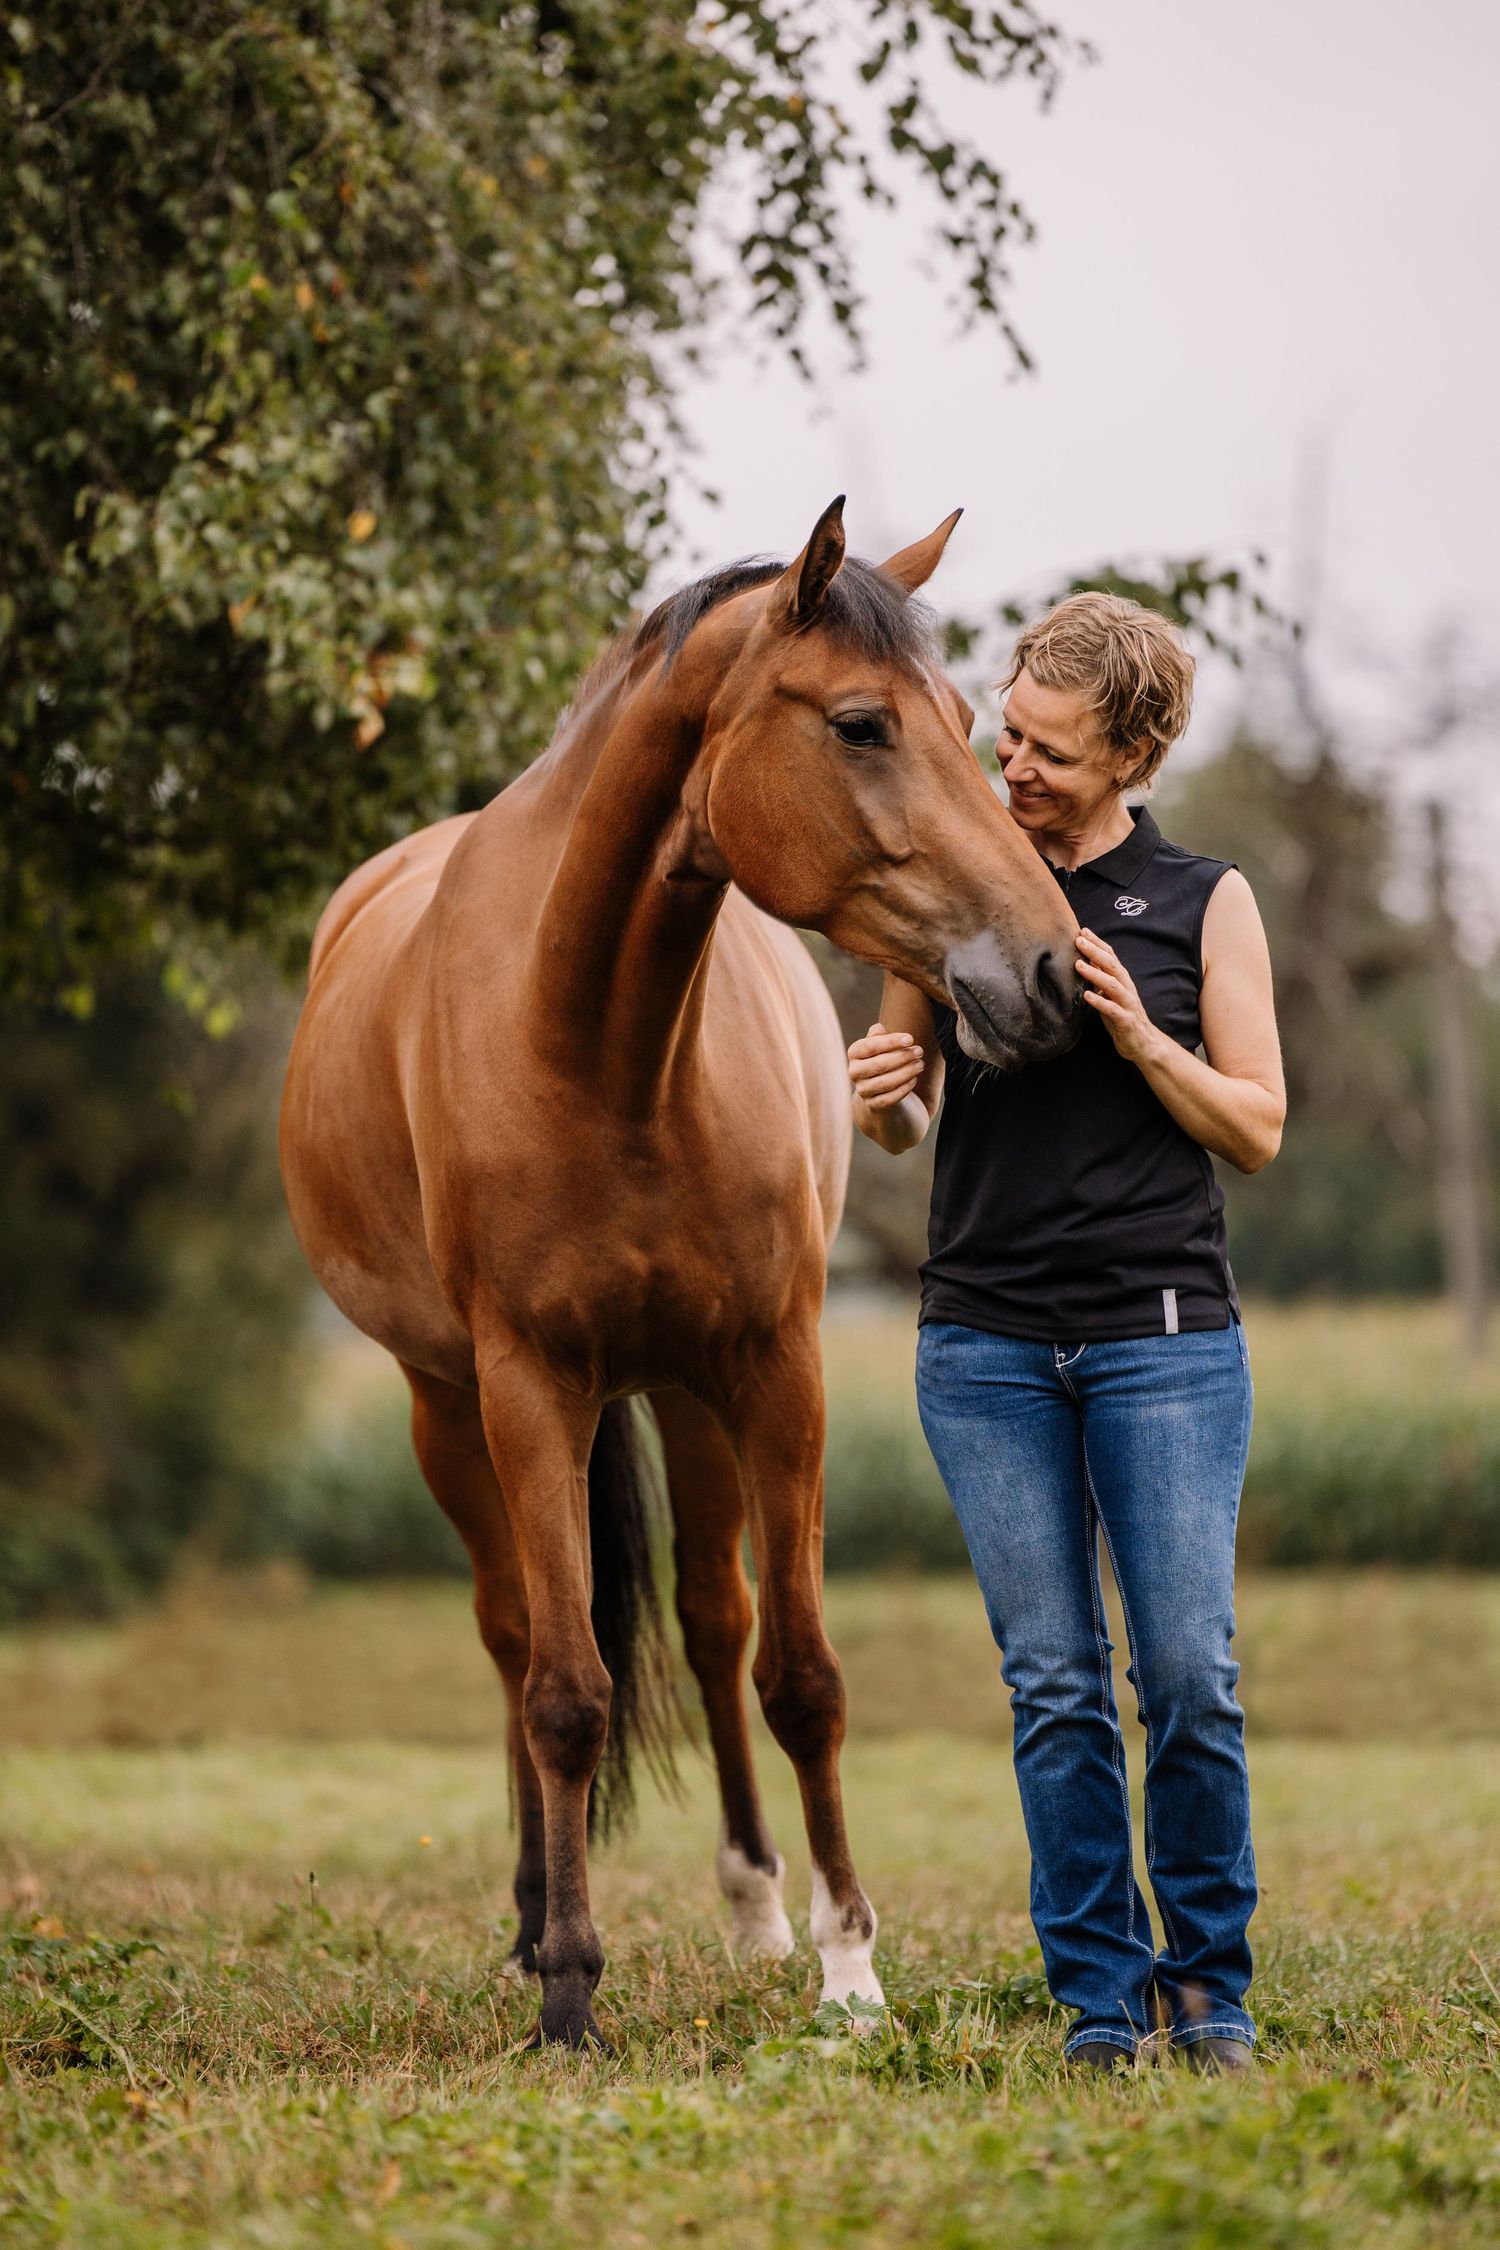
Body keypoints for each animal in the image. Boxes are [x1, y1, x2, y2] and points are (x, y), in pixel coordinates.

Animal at [279, 498, 1081, 2046]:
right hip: (450, 1405)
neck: (601, 1044)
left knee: (715, 1628)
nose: (1054, 973)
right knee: (516, 1637)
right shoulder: (527, 1383)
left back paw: (757, 1908)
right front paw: (570, 1991)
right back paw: (534, 1915)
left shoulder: (775, 1367)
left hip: (687, 1396)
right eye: (860, 724)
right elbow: (567, 1689)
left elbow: (801, 1673)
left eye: (972, 723)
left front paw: (849, 1966)